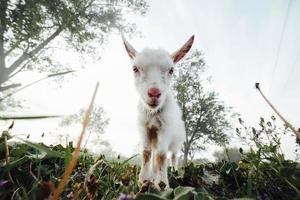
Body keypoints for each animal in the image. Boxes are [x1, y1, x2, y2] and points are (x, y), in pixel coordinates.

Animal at [122, 35, 195, 188]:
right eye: (135, 68)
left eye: (171, 70)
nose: (154, 93)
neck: (153, 114)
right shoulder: (144, 128)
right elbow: (146, 153)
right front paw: (144, 180)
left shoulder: (165, 128)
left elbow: (162, 155)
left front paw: (163, 184)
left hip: (177, 142)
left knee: (173, 156)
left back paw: (174, 172)